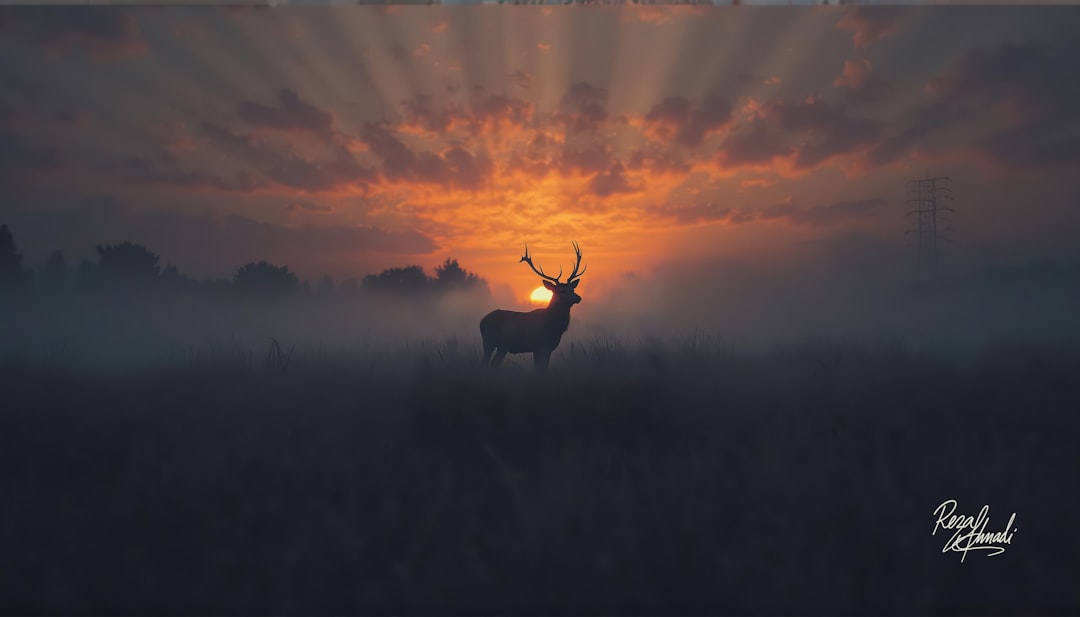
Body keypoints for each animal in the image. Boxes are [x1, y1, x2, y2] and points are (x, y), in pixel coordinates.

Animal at [480, 241, 587, 372]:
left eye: (573, 289)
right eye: (562, 291)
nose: (578, 297)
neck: (553, 326)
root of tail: (481, 321)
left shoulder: (547, 348)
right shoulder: (540, 346)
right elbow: (540, 370)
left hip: (502, 347)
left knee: (494, 363)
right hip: (488, 341)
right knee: (485, 362)